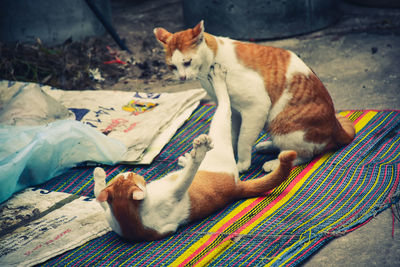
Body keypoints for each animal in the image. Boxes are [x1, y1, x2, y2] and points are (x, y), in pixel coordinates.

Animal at [92, 65, 296, 243]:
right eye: (133, 177)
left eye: (125, 177)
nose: (128, 172)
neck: (130, 220)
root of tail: (237, 187)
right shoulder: (175, 194)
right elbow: (189, 175)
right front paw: (199, 153)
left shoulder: (109, 213)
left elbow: (98, 194)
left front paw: (98, 174)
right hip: (220, 140)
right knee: (224, 106)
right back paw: (217, 79)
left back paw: (185, 159)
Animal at [154, 21, 356, 174]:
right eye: (172, 67)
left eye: (187, 62)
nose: (181, 77)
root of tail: (335, 125)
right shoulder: (233, 111)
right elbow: (233, 135)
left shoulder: (256, 106)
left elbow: (243, 139)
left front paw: (241, 164)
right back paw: (267, 146)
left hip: (282, 126)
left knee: (305, 154)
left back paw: (274, 163)